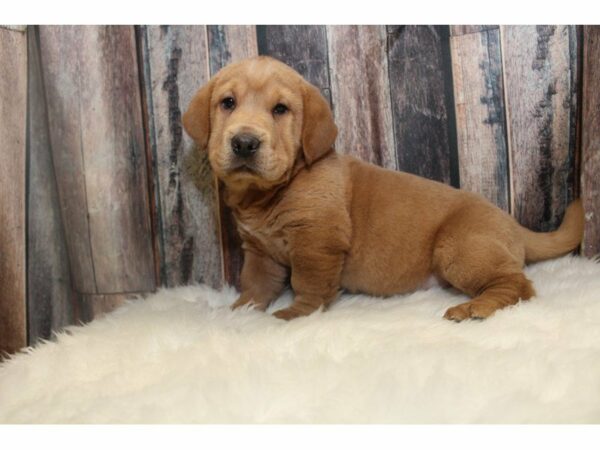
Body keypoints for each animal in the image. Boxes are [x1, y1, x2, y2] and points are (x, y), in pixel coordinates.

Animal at [182, 56, 580, 322]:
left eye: (280, 109)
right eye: (227, 103)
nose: (245, 142)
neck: (267, 193)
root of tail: (514, 225)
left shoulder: (317, 242)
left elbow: (309, 285)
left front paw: (293, 316)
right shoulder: (259, 250)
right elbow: (256, 284)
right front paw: (240, 313)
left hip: (462, 250)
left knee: (518, 285)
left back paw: (475, 306)